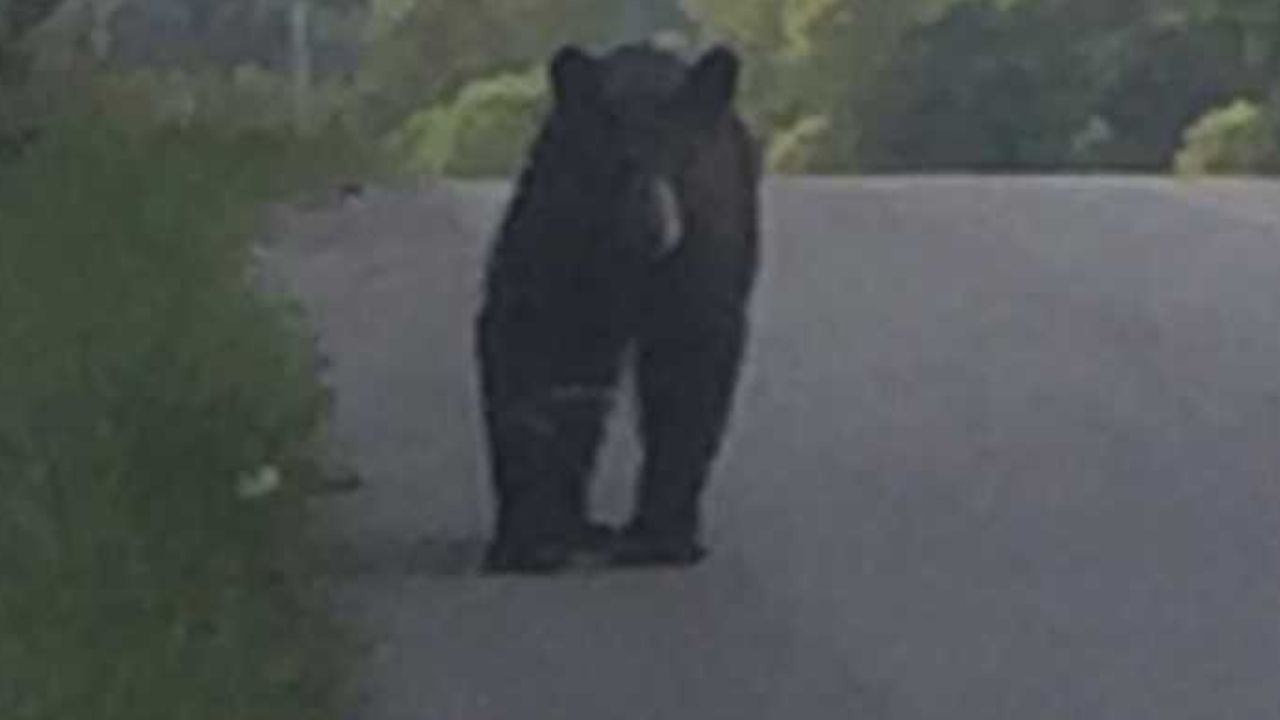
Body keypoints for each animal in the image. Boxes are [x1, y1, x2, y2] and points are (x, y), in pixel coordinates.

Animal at [478, 43, 757, 571]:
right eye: (618, 161)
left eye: (682, 158)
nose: (654, 226)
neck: (627, 261)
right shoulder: (555, 231)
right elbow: (529, 342)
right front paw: (532, 537)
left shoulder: (702, 251)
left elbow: (690, 362)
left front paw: (664, 536)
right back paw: (579, 526)